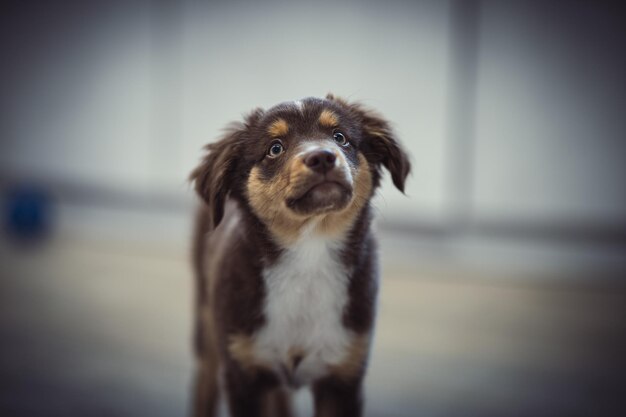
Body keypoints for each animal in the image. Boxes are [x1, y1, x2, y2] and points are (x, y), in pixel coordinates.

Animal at [191, 94, 410, 416]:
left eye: (340, 137)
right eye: (275, 148)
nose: (322, 157)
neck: (309, 254)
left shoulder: (344, 375)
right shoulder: (242, 372)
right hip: (207, 326)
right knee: (205, 381)